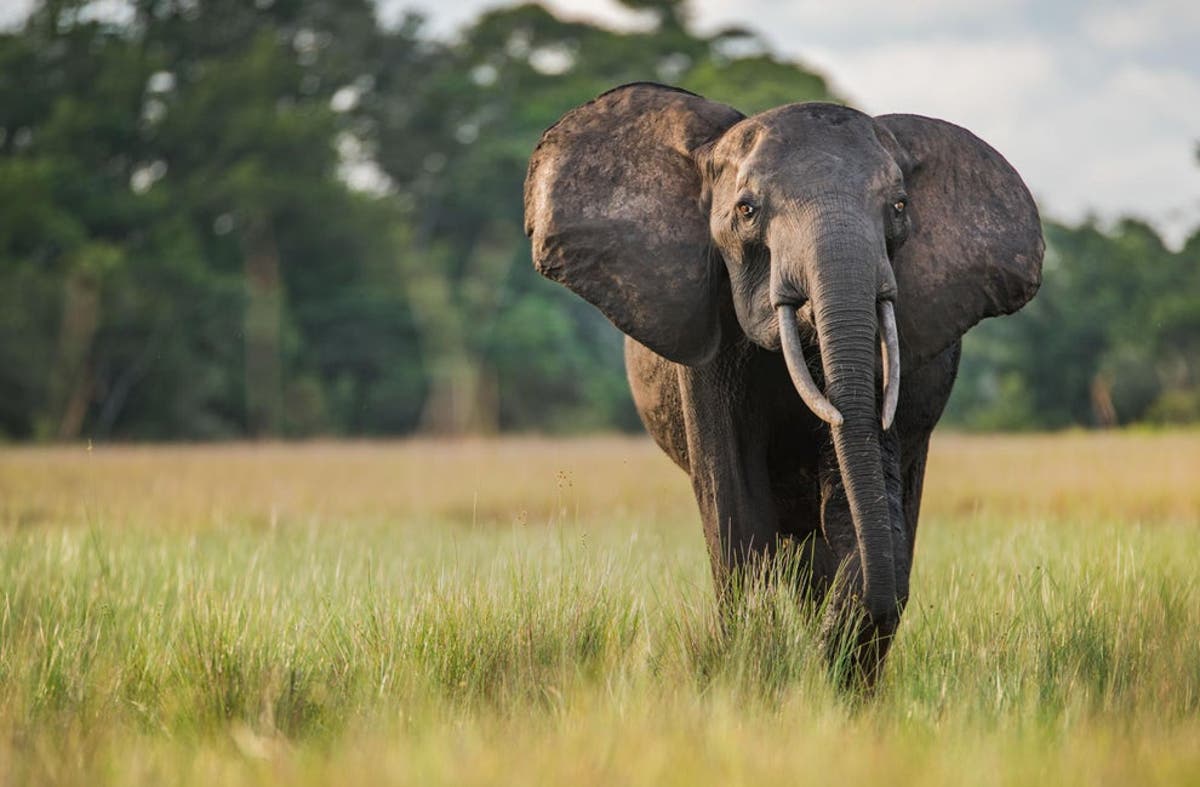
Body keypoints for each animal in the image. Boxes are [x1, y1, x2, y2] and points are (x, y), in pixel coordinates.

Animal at [523, 82, 1043, 684]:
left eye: (898, 207)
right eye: (747, 210)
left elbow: (854, 496)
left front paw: (834, 673)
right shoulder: (712, 338)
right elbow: (733, 495)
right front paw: (758, 668)